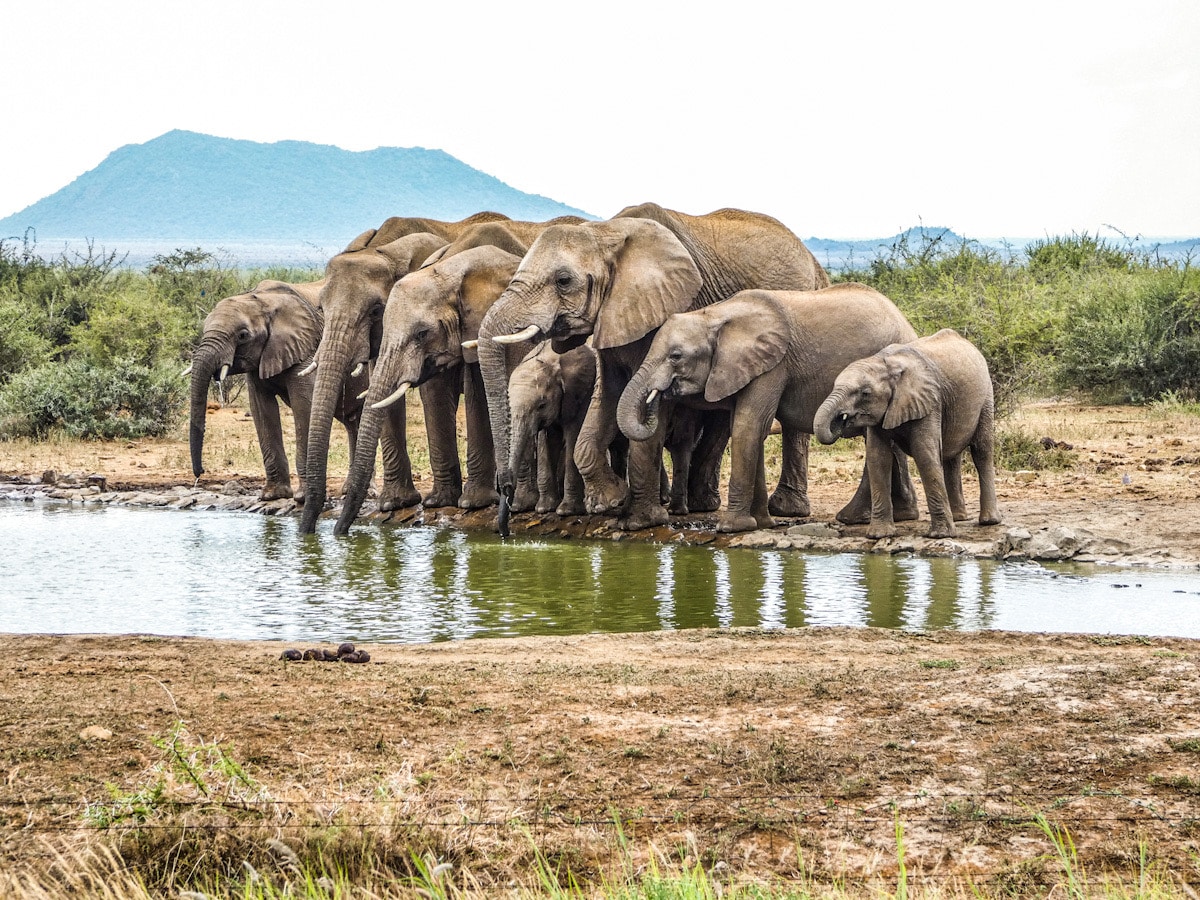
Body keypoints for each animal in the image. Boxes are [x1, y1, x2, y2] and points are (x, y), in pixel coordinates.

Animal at [186, 278, 364, 504]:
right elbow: (261, 409)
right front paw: (272, 495)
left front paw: (302, 498)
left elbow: (303, 406)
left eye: (242, 335)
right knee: (353, 423)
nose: (200, 473)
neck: (263, 301)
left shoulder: (305, 348)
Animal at [298, 213, 511, 532]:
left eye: (376, 310)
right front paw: (394, 504)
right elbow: (385, 397)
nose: (311, 533)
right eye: (321, 309)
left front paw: (455, 503)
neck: (386, 250)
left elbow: (439, 390)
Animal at [472, 200, 830, 532]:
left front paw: (639, 520)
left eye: (563, 280)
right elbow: (609, 396)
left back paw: (785, 510)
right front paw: (612, 501)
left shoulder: (672, 307)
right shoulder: (613, 317)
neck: (606, 232)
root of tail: (814, 263)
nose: (505, 517)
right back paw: (702, 505)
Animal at [619, 285, 916, 532]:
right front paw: (761, 523)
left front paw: (731, 527)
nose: (658, 398)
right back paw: (893, 516)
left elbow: (748, 426)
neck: (715, 315)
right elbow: (751, 430)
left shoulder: (773, 366)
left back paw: (855, 518)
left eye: (676, 356)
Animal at [816, 331, 1003, 542]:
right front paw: (878, 535)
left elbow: (924, 454)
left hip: (986, 397)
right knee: (951, 456)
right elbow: (878, 458)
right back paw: (959, 518)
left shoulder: (928, 401)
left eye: (865, 393)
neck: (885, 363)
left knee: (982, 451)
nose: (841, 420)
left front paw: (940, 535)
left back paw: (988, 521)